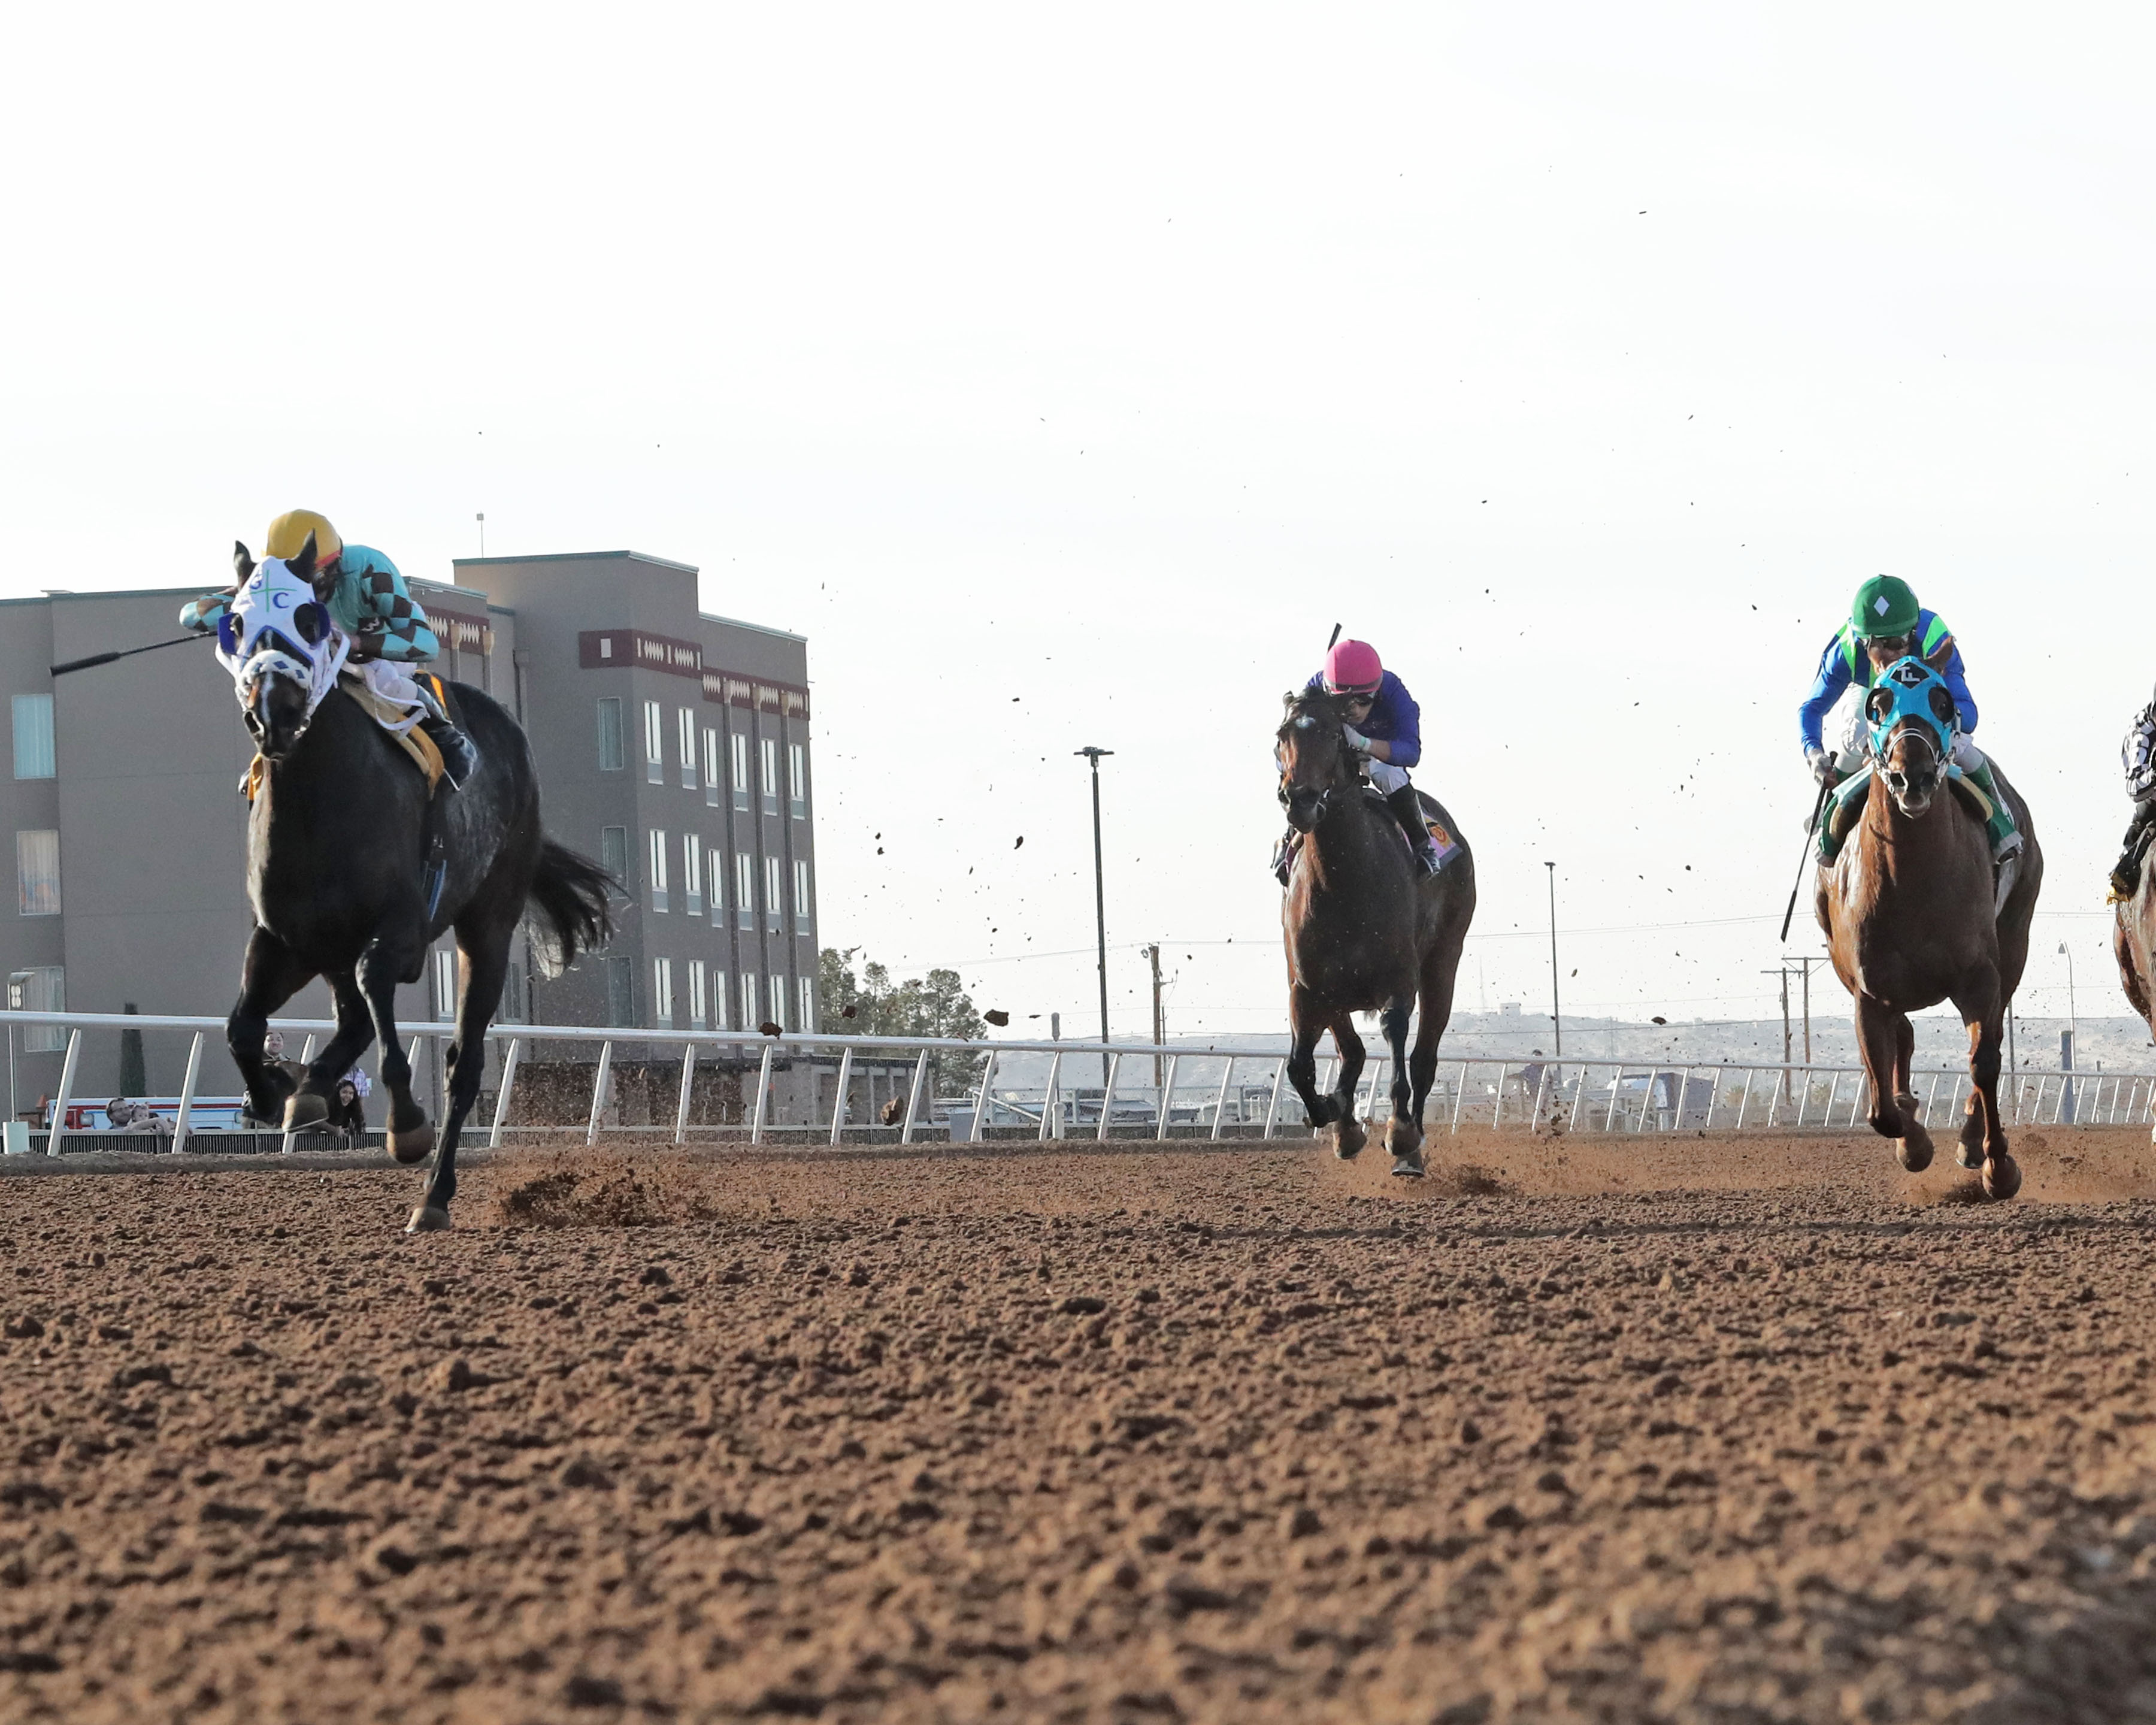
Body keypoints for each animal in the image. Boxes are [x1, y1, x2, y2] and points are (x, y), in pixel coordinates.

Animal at [224, 539, 612, 1224]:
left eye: (308, 618)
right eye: (238, 624)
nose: (275, 713)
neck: (317, 802)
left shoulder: (402, 927)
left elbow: (377, 989)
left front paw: (404, 1123)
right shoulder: (284, 938)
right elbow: (243, 1027)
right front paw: (272, 1094)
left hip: (488, 923)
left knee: (462, 1063)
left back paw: (433, 1194)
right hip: (332, 944)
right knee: (353, 1019)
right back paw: (311, 1091)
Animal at [1267, 685, 1474, 1173]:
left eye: (1331, 733)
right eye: (1283, 734)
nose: (1299, 800)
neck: (1344, 884)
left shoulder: (1399, 978)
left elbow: (1397, 1035)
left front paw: (1400, 1132)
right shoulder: (1307, 987)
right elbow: (1300, 1065)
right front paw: (1333, 1113)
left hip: (1444, 962)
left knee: (1423, 1059)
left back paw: (1412, 1149)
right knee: (1352, 1051)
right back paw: (1344, 1123)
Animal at [1819, 659, 2035, 1199]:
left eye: (1942, 702)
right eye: (1878, 704)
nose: (1910, 776)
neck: (1913, 879)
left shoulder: (1980, 977)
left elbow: (1985, 1059)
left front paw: (1996, 1164)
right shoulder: (1869, 993)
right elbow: (1880, 1110)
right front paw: (1912, 1140)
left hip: (2015, 940)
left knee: (1990, 1038)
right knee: (1904, 1037)